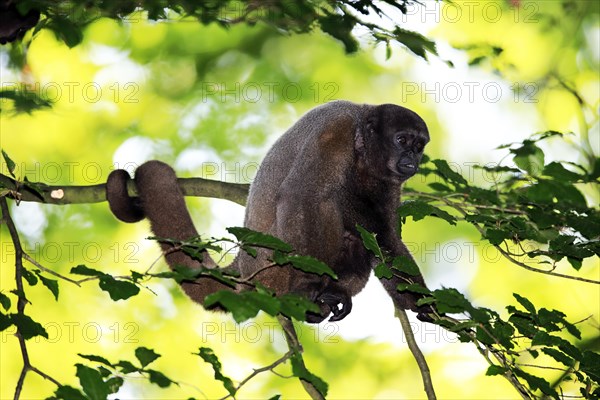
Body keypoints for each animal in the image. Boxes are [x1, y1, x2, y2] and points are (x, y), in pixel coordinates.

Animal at [106, 100, 432, 322]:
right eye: (402, 140)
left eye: (419, 146)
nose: (412, 160)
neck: (361, 142)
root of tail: (243, 267)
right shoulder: (335, 132)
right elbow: (301, 196)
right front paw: (308, 284)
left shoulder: (388, 181)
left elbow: (384, 234)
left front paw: (425, 304)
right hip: (272, 264)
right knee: (325, 202)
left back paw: (337, 292)